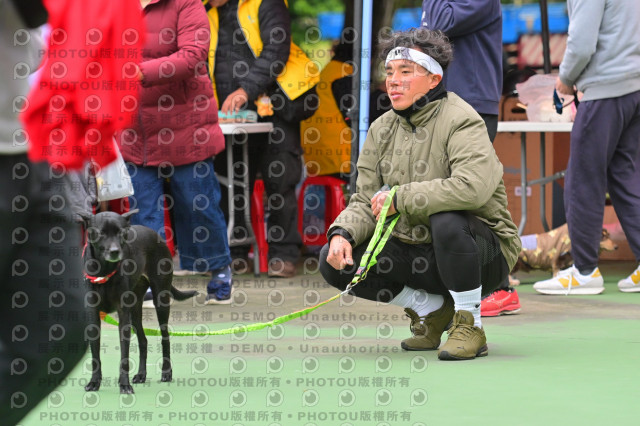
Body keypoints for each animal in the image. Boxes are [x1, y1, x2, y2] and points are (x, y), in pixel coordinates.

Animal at [81, 210, 197, 394]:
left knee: (165, 337)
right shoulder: (93, 315)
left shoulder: (123, 315)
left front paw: (124, 384)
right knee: (143, 340)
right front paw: (94, 382)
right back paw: (141, 375)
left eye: (121, 232)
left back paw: (166, 372)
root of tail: (155, 234)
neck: (106, 268)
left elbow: (124, 355)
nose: (115, 251)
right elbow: (95, 353)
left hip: (160, 300)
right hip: (135, 309)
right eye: (101, 233)